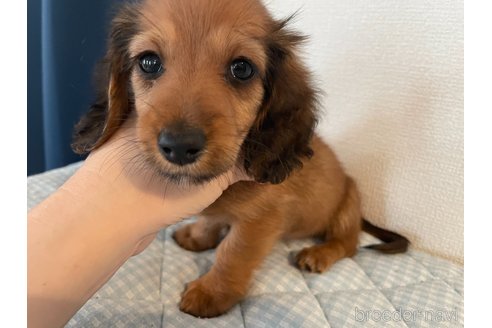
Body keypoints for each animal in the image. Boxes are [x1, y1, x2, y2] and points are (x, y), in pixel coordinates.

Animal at [71, 0, 410, 318]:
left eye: (242, 68)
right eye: (149, 62)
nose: (179, 146)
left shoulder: (261, 219)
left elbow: (232, 253)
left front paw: (211, 293)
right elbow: (211, 219)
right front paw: (198, 236)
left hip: (348, 203)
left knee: (349, 244)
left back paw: (320, 254)